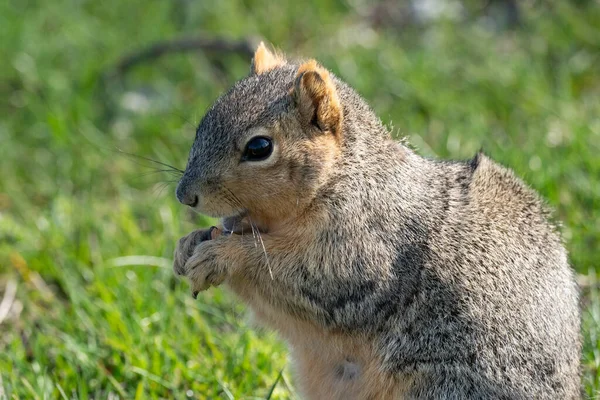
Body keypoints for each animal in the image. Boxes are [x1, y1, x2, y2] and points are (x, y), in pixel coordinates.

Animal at [172, 42, 580, 398]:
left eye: (260, 147)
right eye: (203, 122)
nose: (184, 195)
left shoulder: (365, 254)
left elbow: (298, 275)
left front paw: (223, 256)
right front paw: (188, 243)